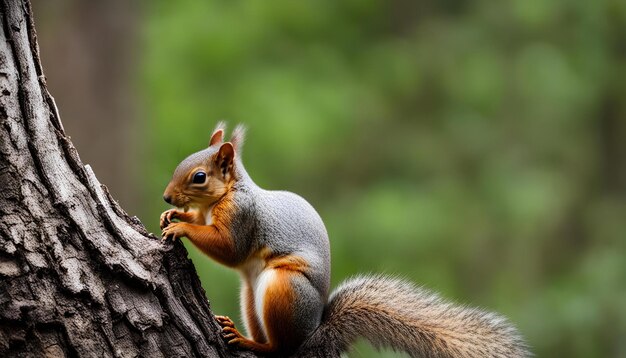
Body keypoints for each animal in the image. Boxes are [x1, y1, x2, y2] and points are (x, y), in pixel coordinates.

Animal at [160, 121, 528, 356]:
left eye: (199, 177)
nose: (166, 197)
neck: (221, 199)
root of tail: (311, 336)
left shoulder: (243, 217)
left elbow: (230, 249)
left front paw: (181, 228)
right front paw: (175, 216)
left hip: (283, 289)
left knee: (280, 349)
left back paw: (253, 343)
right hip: (251, 296)